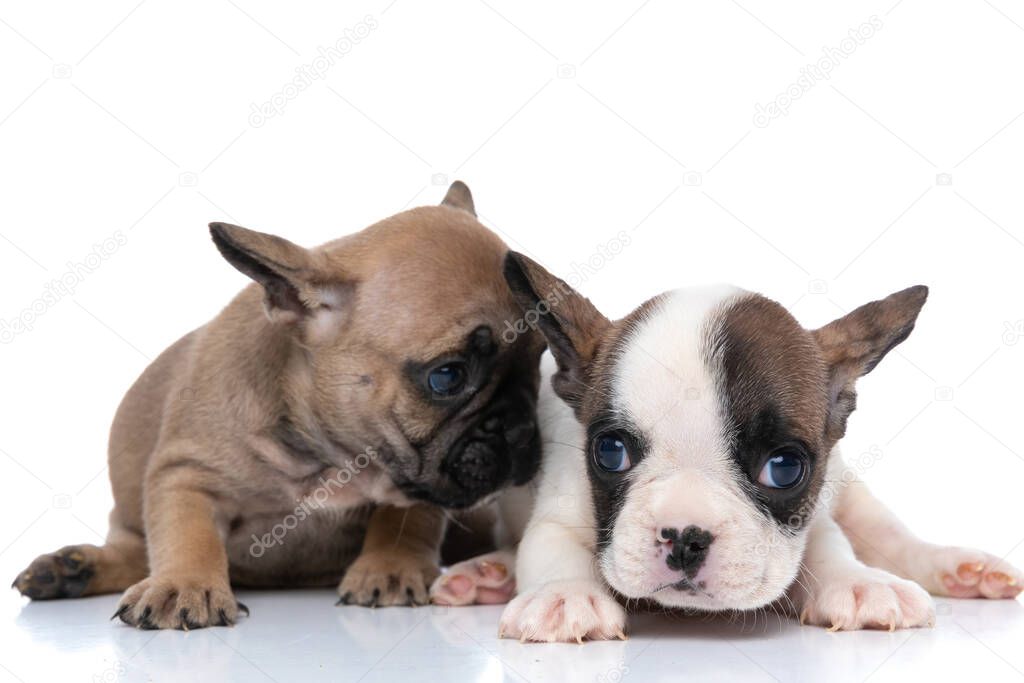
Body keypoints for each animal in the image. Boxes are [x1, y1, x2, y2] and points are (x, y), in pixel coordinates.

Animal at [12, 183, 548, 630]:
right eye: (448, 376)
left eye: (539, 357)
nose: (522, 429)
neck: (334, 457)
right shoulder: (186, 472)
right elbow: (187, 531)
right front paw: (183, 585)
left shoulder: (421, 484)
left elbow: (405, 521)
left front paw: (390, 567)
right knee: (135, 550)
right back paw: (72, 568)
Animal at [434, 252, 1024, 643]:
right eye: (610, 452)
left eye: (784, 468)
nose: (685, 537)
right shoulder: (560, 509)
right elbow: (549, 549)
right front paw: (562, 594)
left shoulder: (815, 512)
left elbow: (830, 547)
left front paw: (857, 582)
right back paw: (486, 574)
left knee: (892, 537)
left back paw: (956, 566)